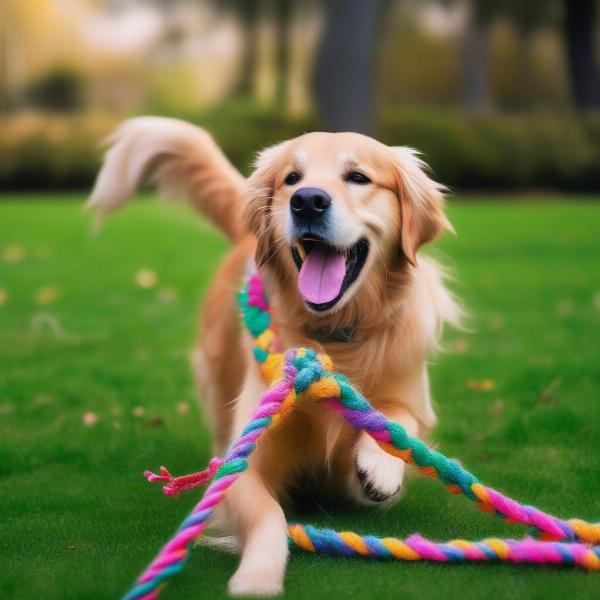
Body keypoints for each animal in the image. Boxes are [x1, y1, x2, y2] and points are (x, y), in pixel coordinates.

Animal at [89, 117, 462, 596]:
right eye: (292, 179)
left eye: (358, 177)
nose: (308, 201)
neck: (333, 340)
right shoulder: (245, 462)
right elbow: (269, 514)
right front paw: (257, 575)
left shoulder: (404, 397)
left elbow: (397, 419)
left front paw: (380, 463)